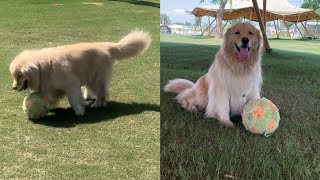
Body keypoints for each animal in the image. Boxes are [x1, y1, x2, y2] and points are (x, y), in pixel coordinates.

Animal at [8, 30, 151, 116]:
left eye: (20, 75)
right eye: (14, 76)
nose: (14, 87)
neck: (44, 67)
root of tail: (106, 46)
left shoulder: (71, 85)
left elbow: (73, 99)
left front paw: (79, 111)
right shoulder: (52, 87)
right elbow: (51, 97)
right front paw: (51, 106)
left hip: (96, 78)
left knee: (101, 94)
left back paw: (96, 104)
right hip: (89, 76)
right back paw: (87, 97)